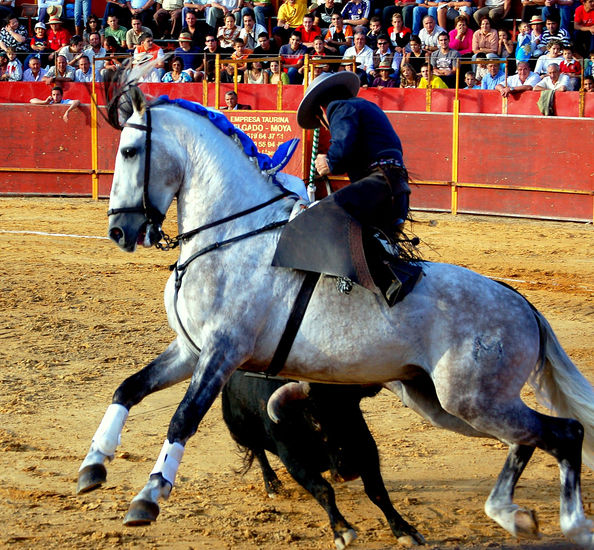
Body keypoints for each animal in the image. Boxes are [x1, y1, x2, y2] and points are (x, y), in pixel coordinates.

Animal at [77, 80, 592, 548]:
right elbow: (129, 388)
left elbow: (184, 416)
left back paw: (572, 524)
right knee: (532, 438)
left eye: (129, 150)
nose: (120, 231)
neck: (230, 235)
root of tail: (523, 305)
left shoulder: (223, 350)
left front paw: (148, 496)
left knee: (565, 432)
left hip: (474, 399)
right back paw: (512, 515)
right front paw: (92, 467)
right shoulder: (190, 349)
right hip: (444, 403)